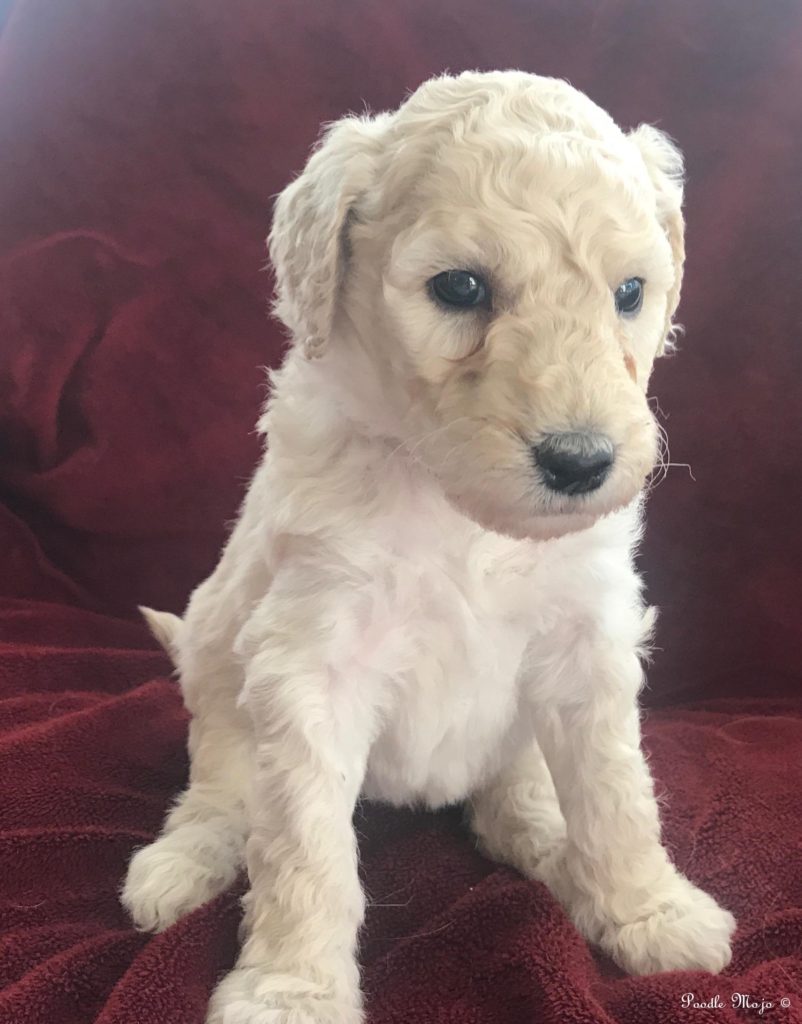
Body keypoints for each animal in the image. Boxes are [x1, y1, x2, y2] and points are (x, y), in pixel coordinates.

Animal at [122, 72, 737, 1024]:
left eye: (630, 293)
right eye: (459, 287)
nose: (581, 462)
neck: (461, 511)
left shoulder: (589, 643)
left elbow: (617, 794)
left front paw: (649, 911)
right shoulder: (311, 662)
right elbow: (302, 847)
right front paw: (291, 990)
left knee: (514, 789)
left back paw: (543, 836)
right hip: (219, 661)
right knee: (222, 785)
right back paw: (181, 861)